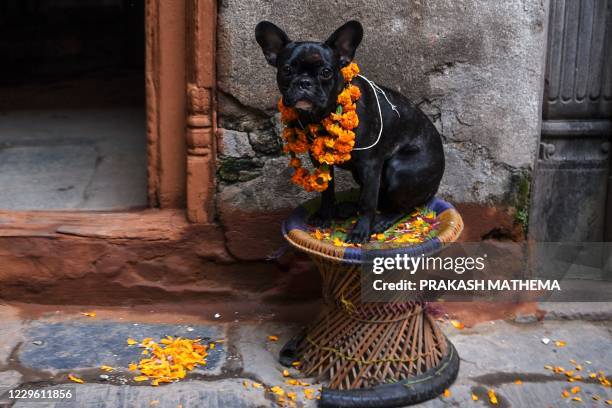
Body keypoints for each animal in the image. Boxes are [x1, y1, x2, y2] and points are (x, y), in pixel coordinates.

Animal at [255, 19, 444, 242]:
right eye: (286, 69)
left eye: (326, 72)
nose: (304, 82)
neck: (322, 115)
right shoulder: (320, 161)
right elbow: (327, 191)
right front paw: (324, 216)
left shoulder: (371, 166)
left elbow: (368, 202)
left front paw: (360, 231)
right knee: (380, 197)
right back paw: (347, 208)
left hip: (400, 169)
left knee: (402, 205)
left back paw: (382, 220)